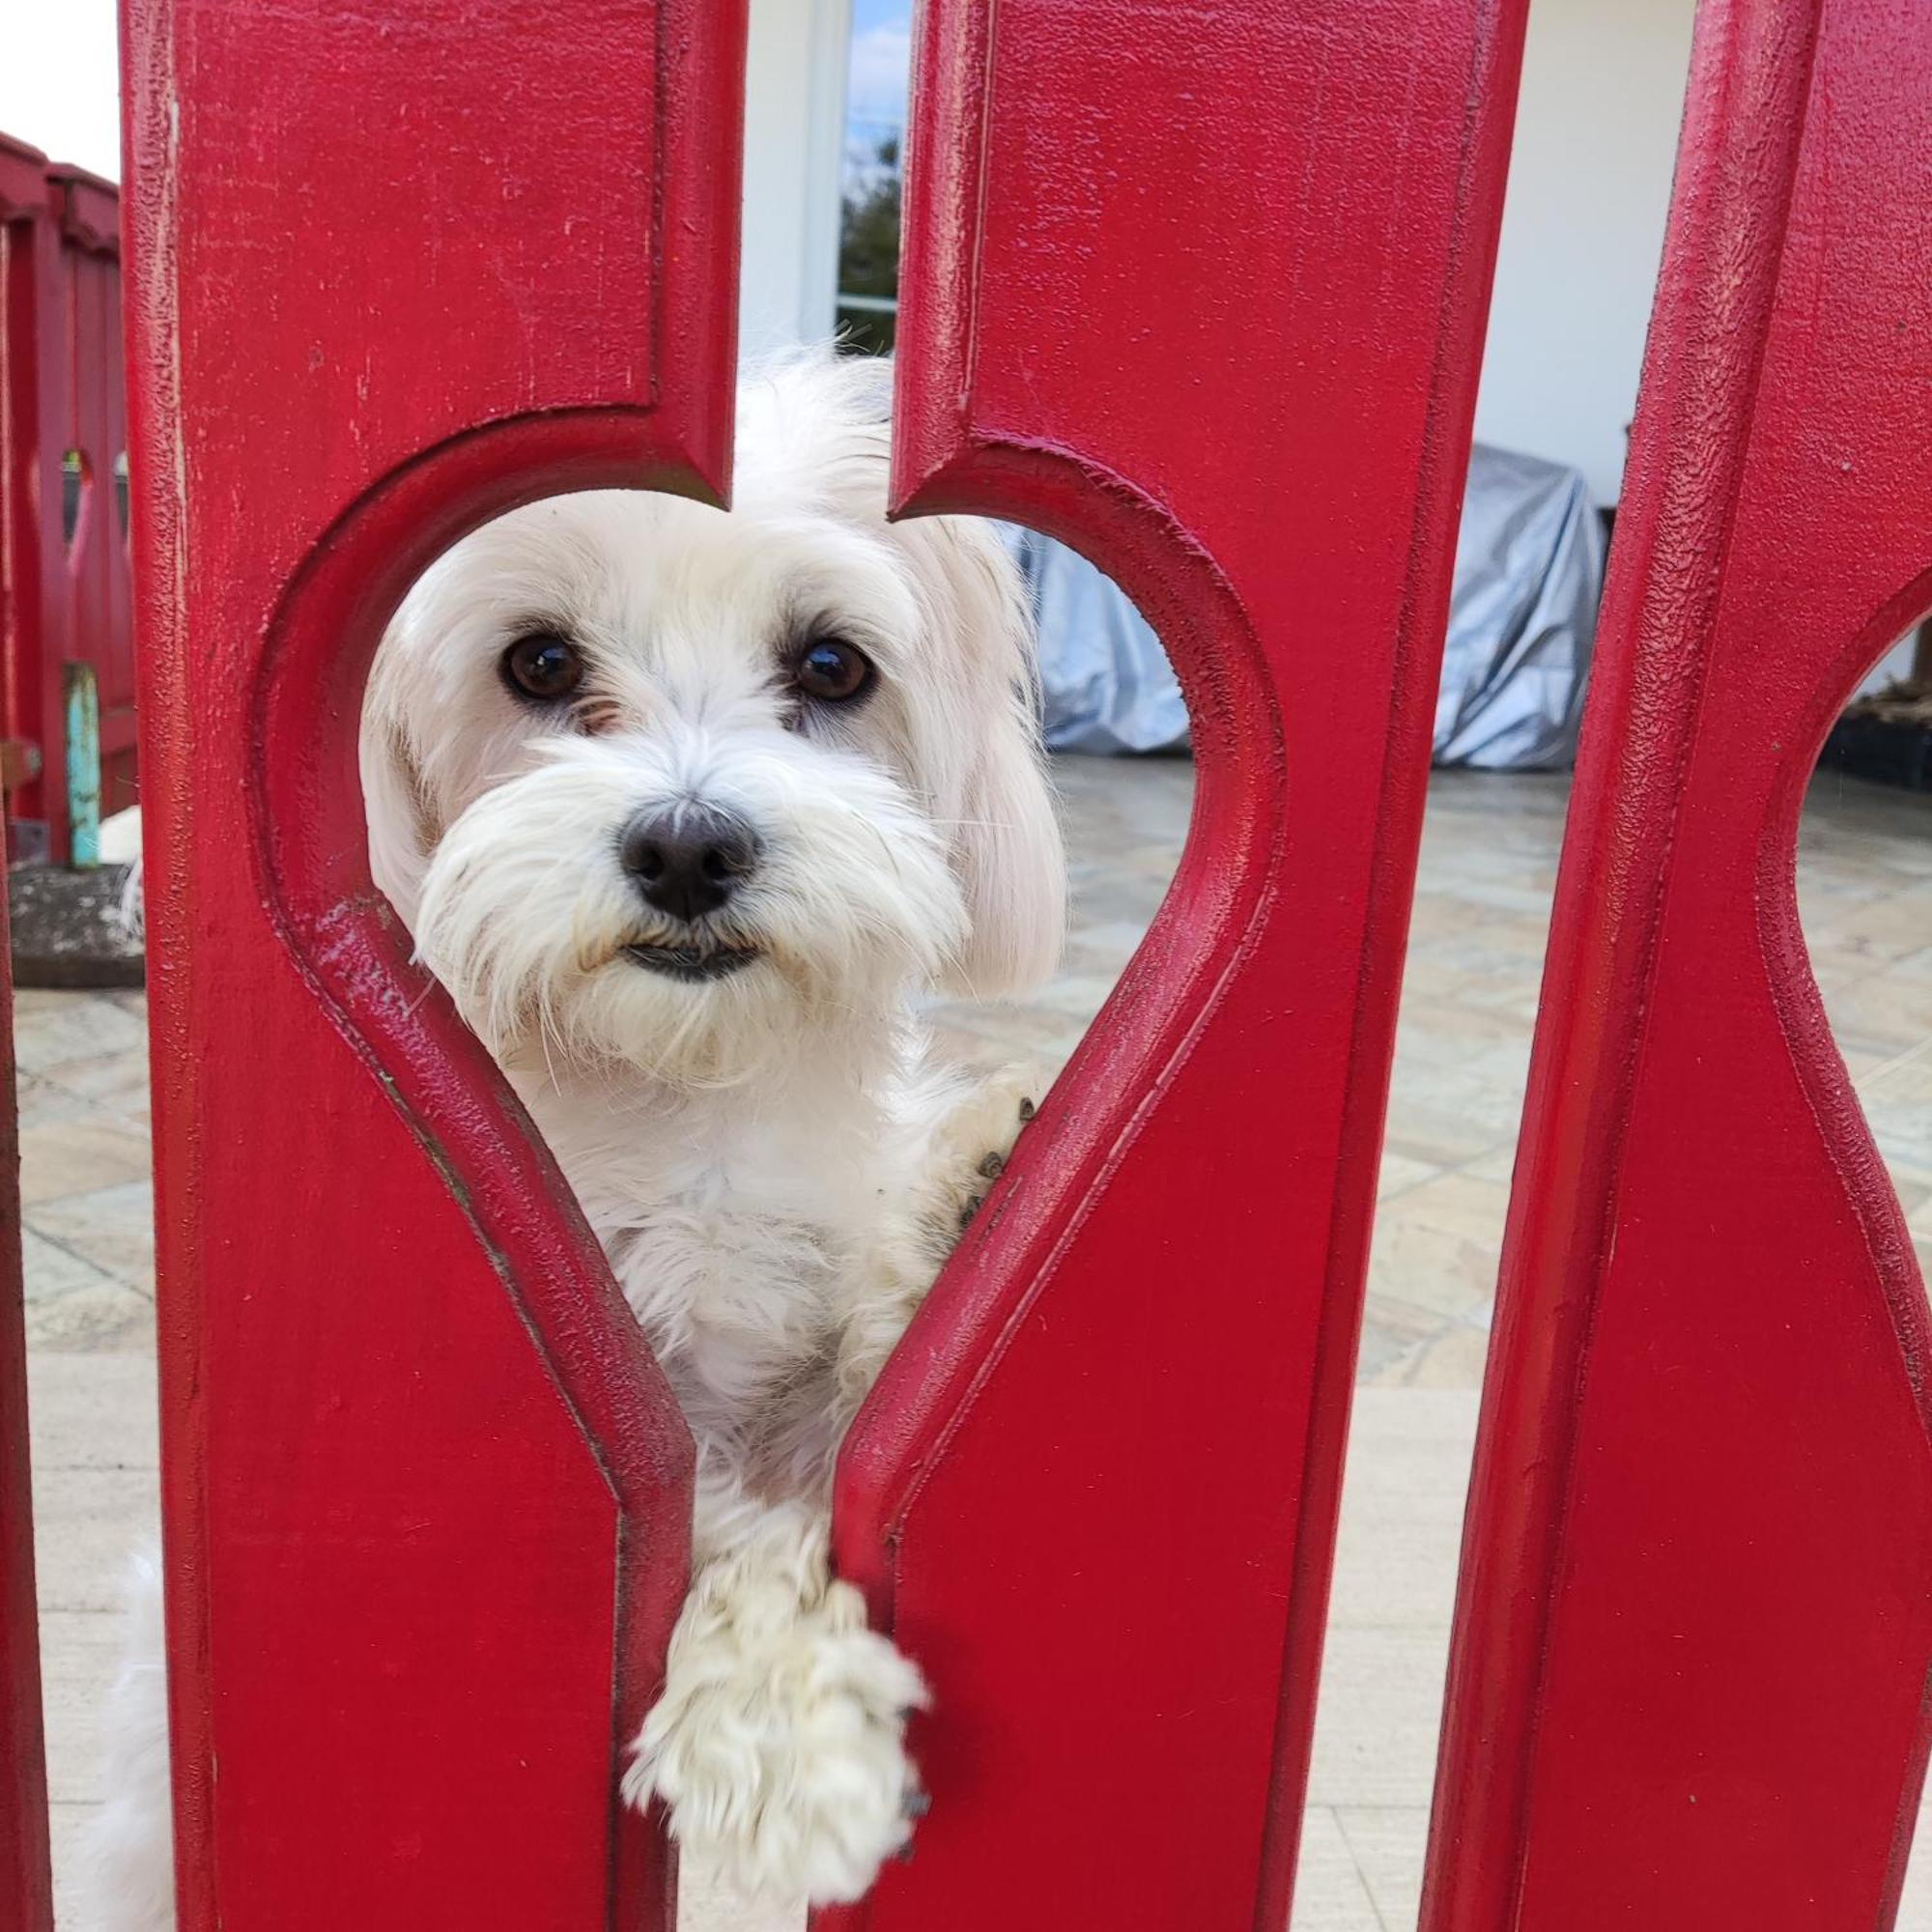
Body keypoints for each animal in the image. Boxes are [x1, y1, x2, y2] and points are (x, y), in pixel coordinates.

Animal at [91, 355, 1074, 1924]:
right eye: (541, 664)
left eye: (832, 667)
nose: (687, 844)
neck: (681, 1096)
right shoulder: (589, 1421)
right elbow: (709, 1522)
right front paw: (790, 1748)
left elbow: (857, 1422)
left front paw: (963, 1202)